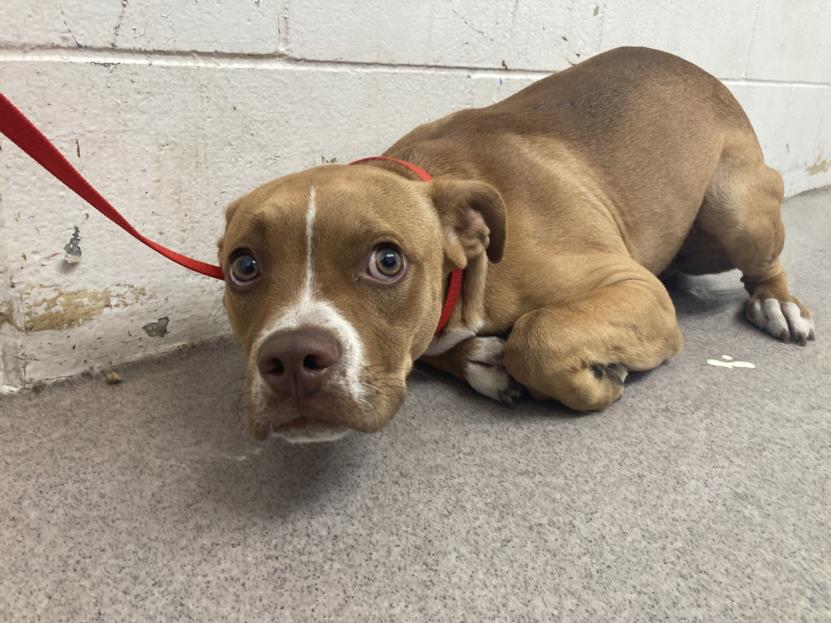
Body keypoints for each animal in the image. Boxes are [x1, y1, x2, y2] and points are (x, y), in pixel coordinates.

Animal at [218, 45, 816, 444]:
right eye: (242, 267)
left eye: (387, 261)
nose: (292, 357)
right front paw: (483, 360)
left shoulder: (635, 288)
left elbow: (538, 336)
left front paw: (598, 379)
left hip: (733, 206)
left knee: (763, 265)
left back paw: (777, 304)